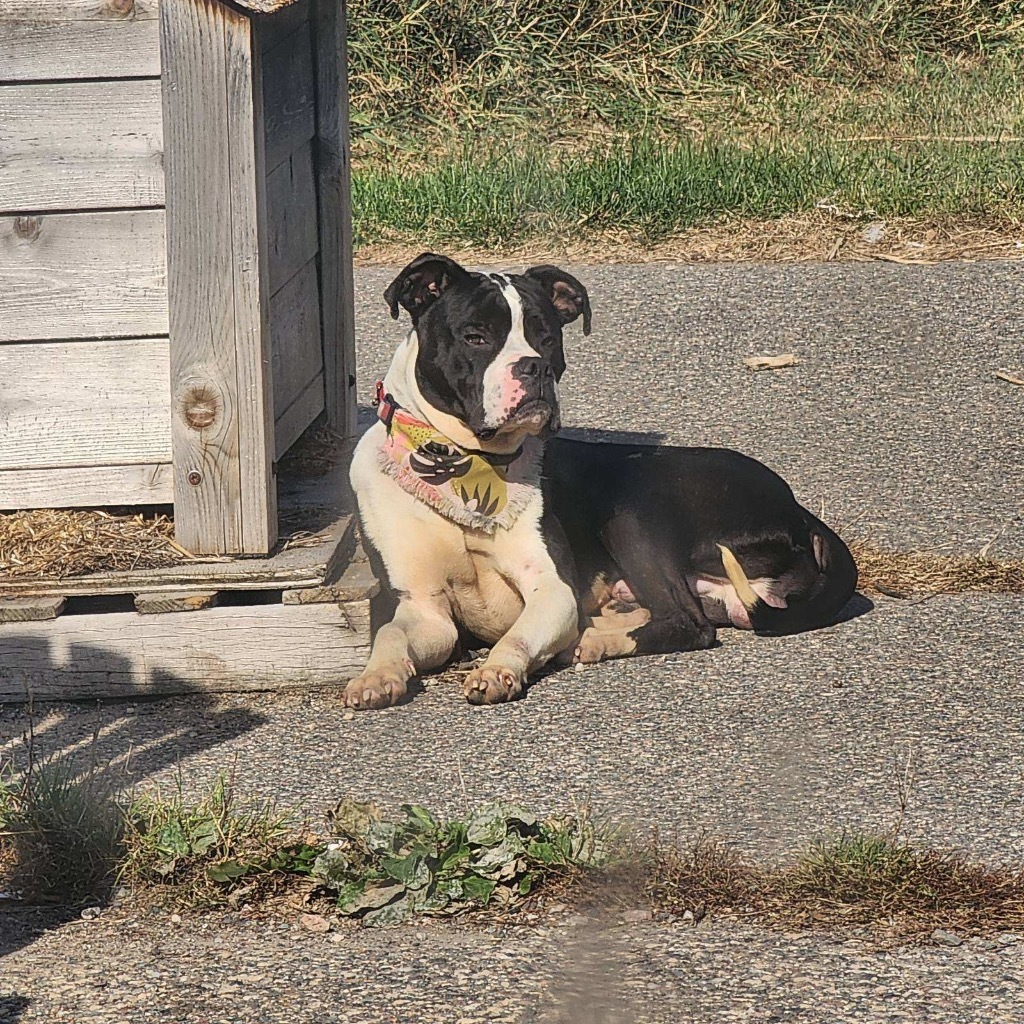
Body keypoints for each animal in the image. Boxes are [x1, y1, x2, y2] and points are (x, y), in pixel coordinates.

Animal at [344, 251, 856, 708]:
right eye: (475, 336)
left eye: (548, 338)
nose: (534, 366)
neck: (461, 465)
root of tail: (798, 509)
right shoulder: (425, 609)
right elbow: (390, 632)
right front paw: (376, 677)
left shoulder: (551, 589)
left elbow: (517, 636)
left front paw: (497, 670)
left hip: (635, 507)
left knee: (687, 621)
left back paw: (586, 642)